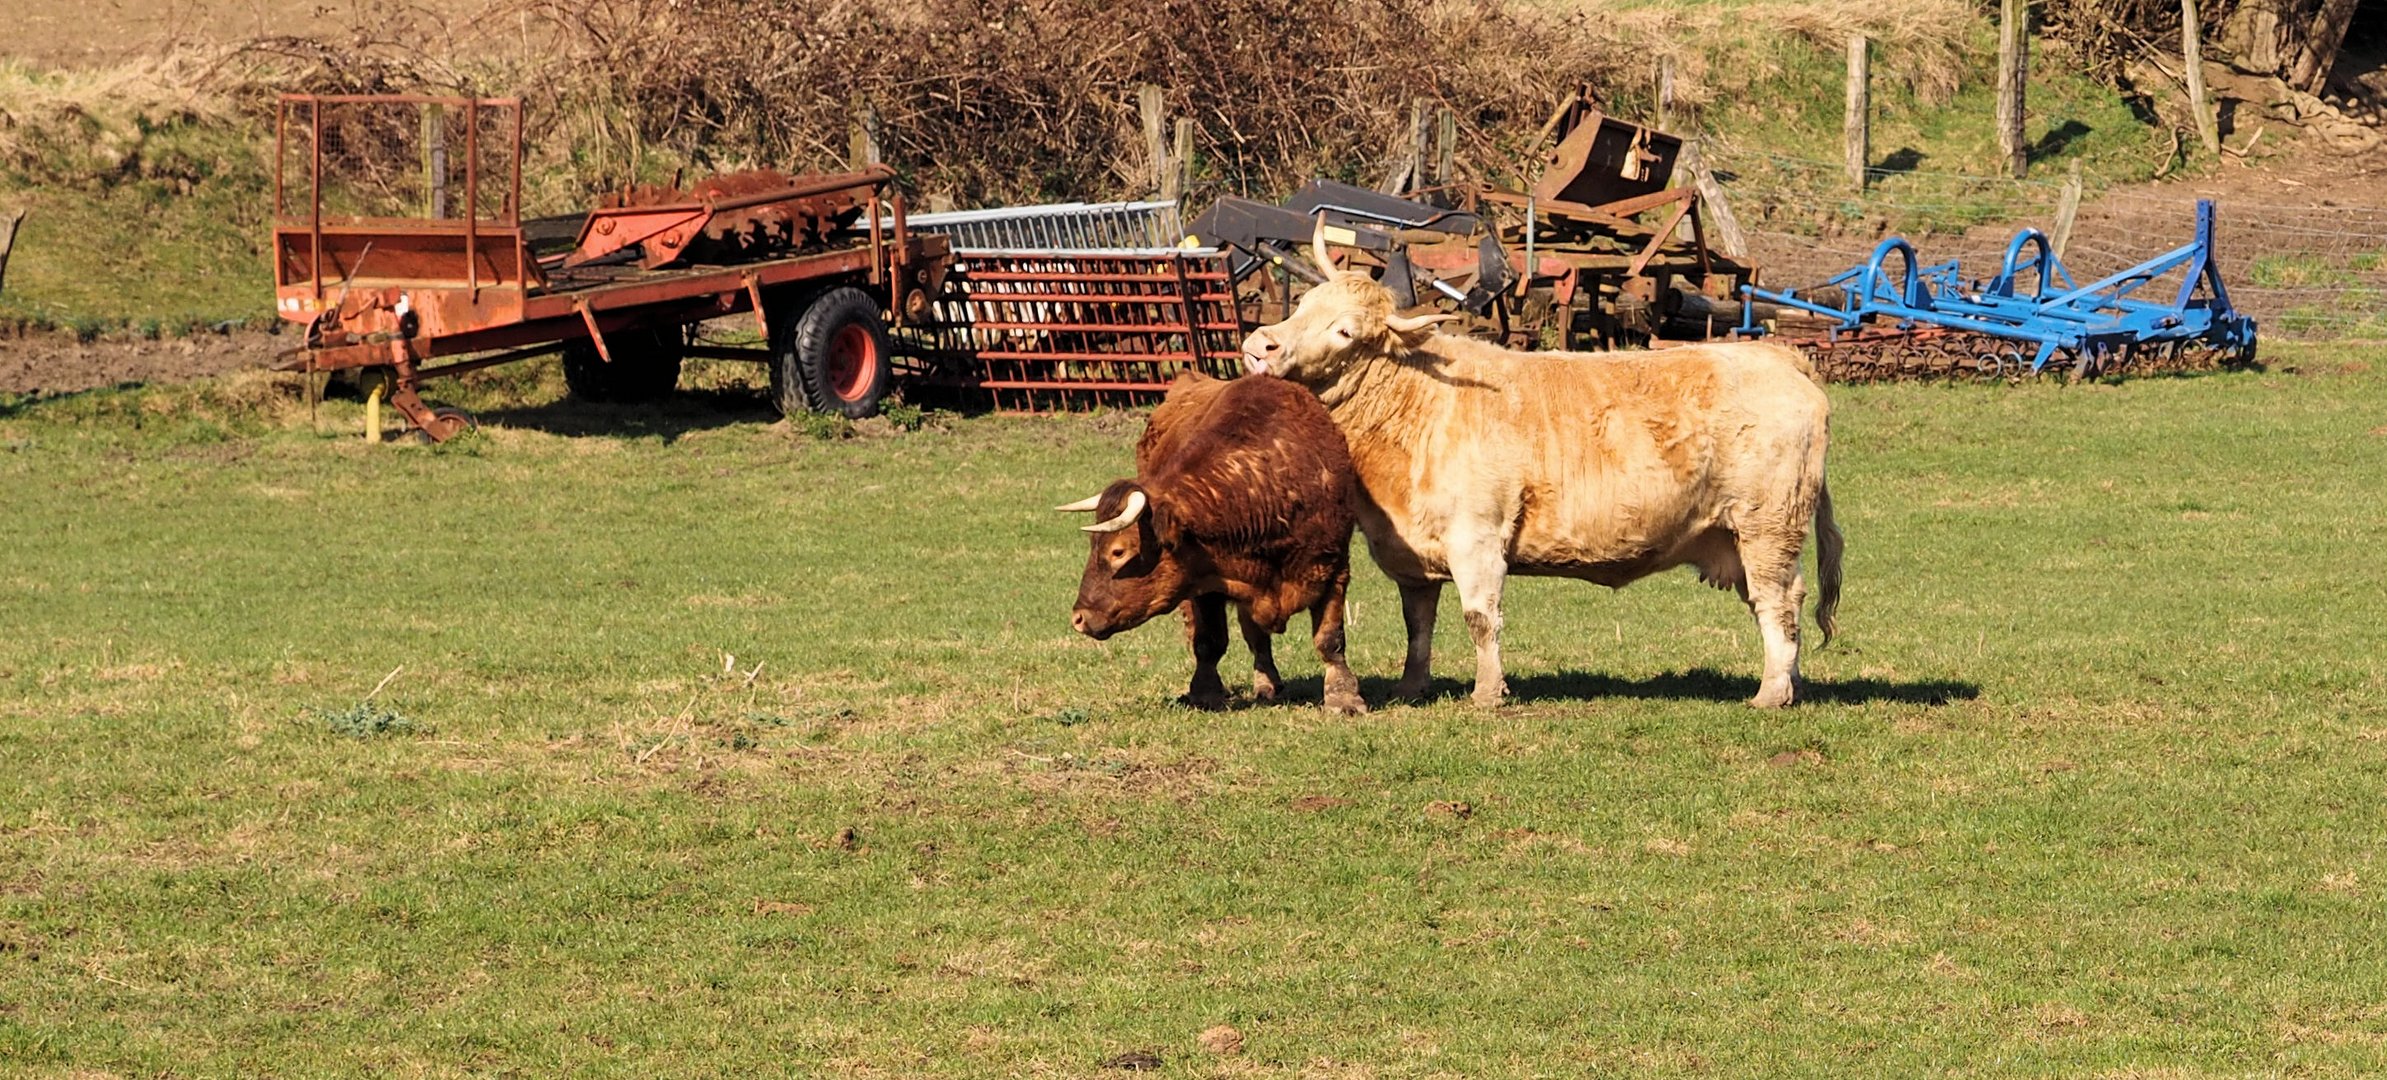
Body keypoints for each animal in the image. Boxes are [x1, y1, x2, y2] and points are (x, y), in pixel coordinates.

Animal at [1059, 372, 1374, 716]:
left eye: (1118, 551)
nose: (1078, 617)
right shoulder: (1205, 583)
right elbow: (1209, 641)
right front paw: (1205, 692)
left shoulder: (1334, 567)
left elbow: (1330, 639)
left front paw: (1344, 697)